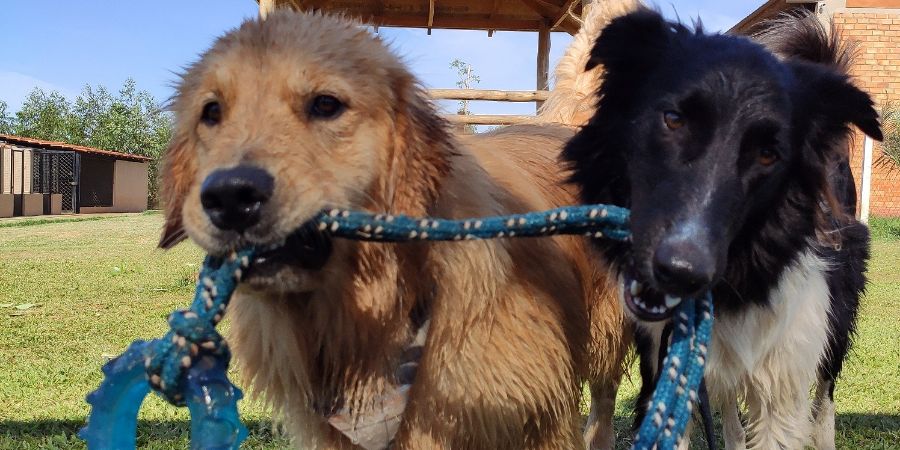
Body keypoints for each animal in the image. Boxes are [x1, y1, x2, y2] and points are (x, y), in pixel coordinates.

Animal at [568, 7, 884, 450]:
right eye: (673, 120)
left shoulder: (785, 374)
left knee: (825, 389)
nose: (679, 272)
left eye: (769, 154)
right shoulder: (662, 364)